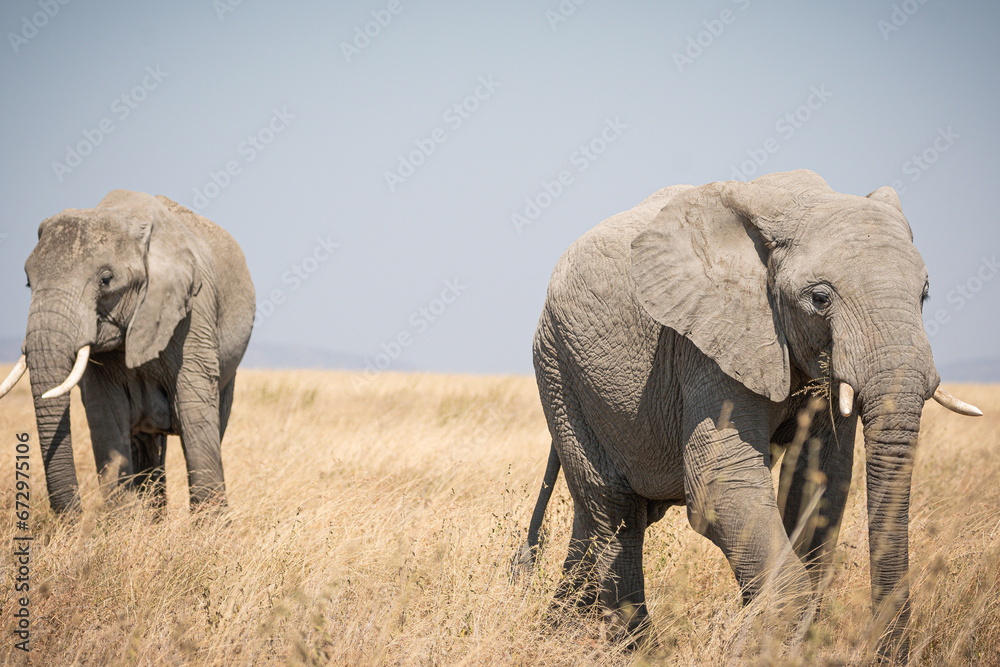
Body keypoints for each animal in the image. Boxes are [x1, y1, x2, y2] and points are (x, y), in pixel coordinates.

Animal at [0, 190, 254, 516]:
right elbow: (106, 415)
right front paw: (120, 523)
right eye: (28, 282)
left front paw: (213, 527)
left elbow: (194, 408)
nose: (73, 519)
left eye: (106, 280)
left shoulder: (193, 311)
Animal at [524, 170, 984, 660]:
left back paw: (560, 630)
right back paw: (637, 650)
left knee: (603, 514)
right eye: (820, 298)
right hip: (558, 366)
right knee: (615, 509)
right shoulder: (704, 341)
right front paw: (761, 644)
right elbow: (721, 484)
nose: (885, 654)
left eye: (925, 294)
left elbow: (819, 482)